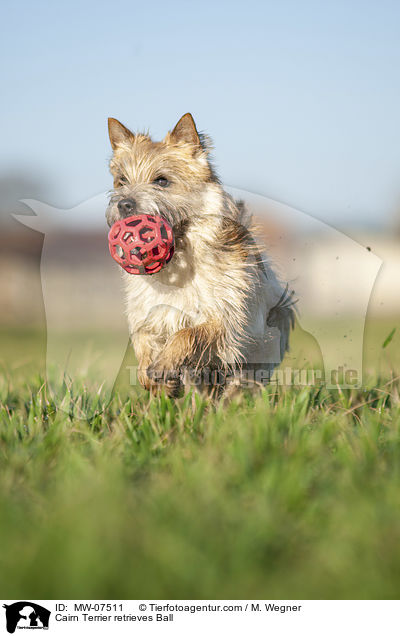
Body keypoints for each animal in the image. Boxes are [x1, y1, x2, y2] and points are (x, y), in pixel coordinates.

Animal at [106, 112, 294, 396]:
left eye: (162, 180)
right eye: (122, 181)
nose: (124, 204)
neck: (177, 264)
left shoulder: (224, 319)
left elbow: (188, 334)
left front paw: (164, 363)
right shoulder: (147, 313)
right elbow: (142, 339)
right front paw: (152, 377)